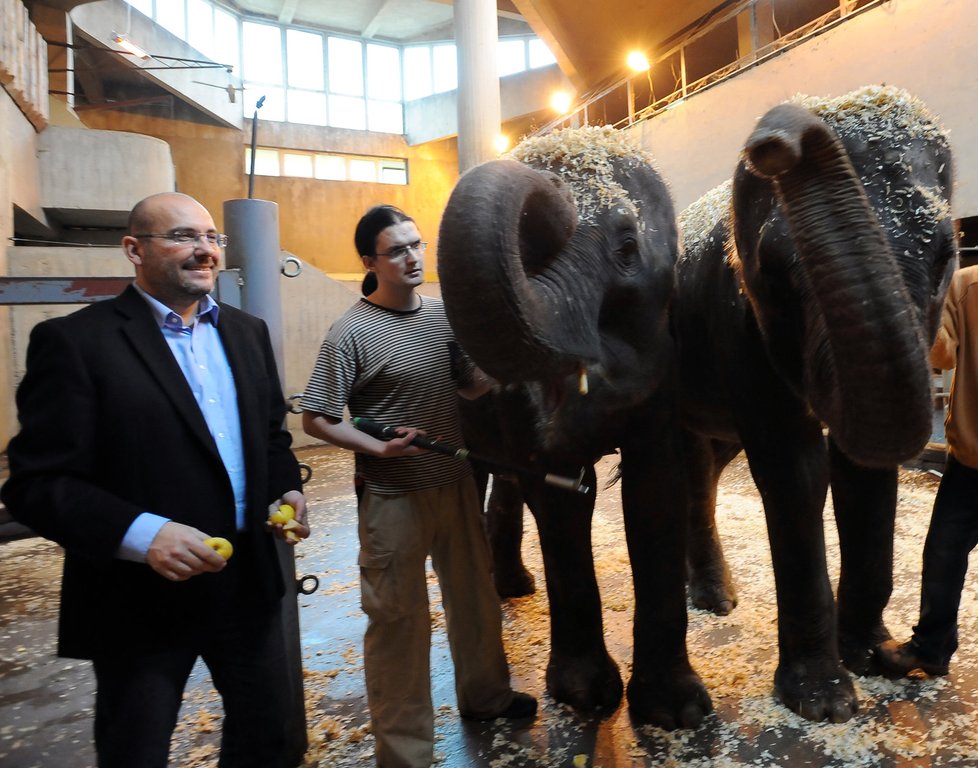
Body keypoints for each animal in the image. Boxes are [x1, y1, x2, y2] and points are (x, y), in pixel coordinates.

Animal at [436, 124, 708, 728]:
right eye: (523, 254)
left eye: (627, 248)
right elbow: (559, 500)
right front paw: (586, 697)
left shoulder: (668, 373)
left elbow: (656, 492)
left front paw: (675, 711)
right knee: (476, 480)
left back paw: (514, 587)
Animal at [676, 84, 956, 720]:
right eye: (777, 269)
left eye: (944, 254)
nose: (771, 143)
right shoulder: (736, 320)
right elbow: (795, 472)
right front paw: (824, 701)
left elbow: (864, 471)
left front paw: (869, 653)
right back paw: (714, 601)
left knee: (710, 461)